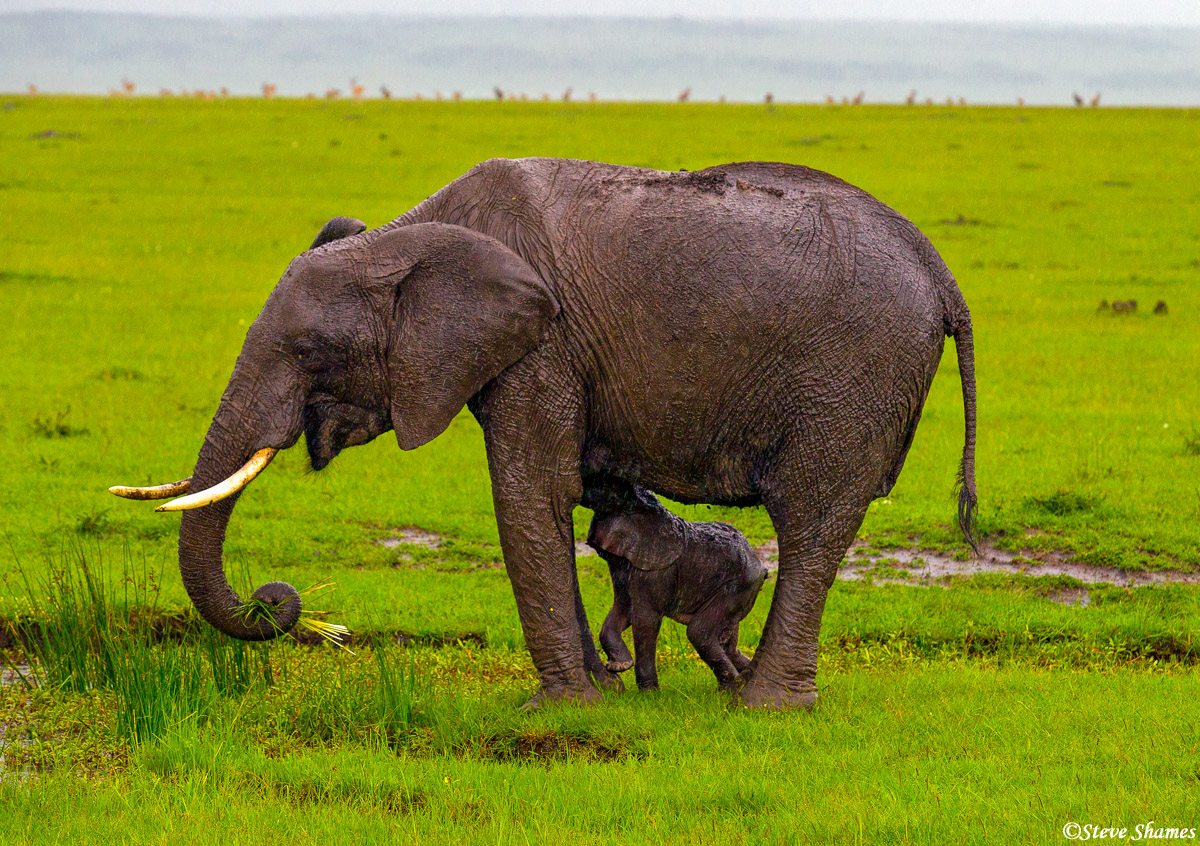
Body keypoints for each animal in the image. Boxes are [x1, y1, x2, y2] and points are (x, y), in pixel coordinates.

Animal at [588, 492, 768, 691]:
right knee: (727, 644)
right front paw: (619, 666)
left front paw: (649, 693)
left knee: (699, 632)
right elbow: (623, 609)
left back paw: (729, 690)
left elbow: (645, 619)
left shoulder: (658, 569)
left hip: (740, 585)